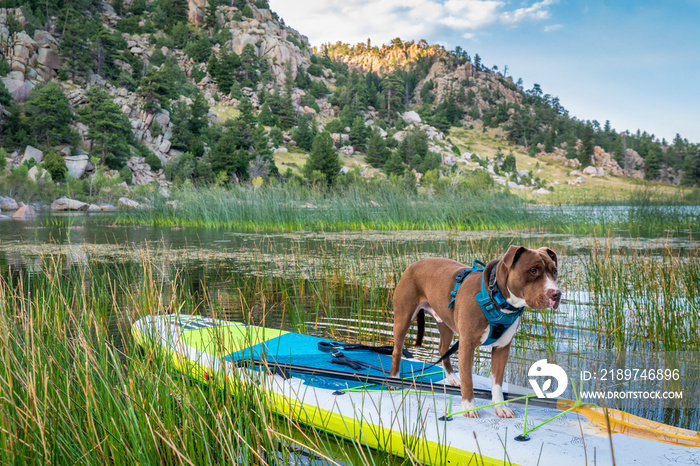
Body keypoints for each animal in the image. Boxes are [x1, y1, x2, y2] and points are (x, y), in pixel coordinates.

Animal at [388, 248, 564, 418]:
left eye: (555, 271)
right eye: (533, 270)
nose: (556, 293)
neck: (497, 298)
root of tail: (414, 263)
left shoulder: (502, 348)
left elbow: (497, 382)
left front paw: (500, 407)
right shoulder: (467, 345)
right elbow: (468, 379)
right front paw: (469, 407)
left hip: (445, 323)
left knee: (443, 348)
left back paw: (452, 377)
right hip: (403, 317)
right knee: (397, 349)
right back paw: (394, 379)